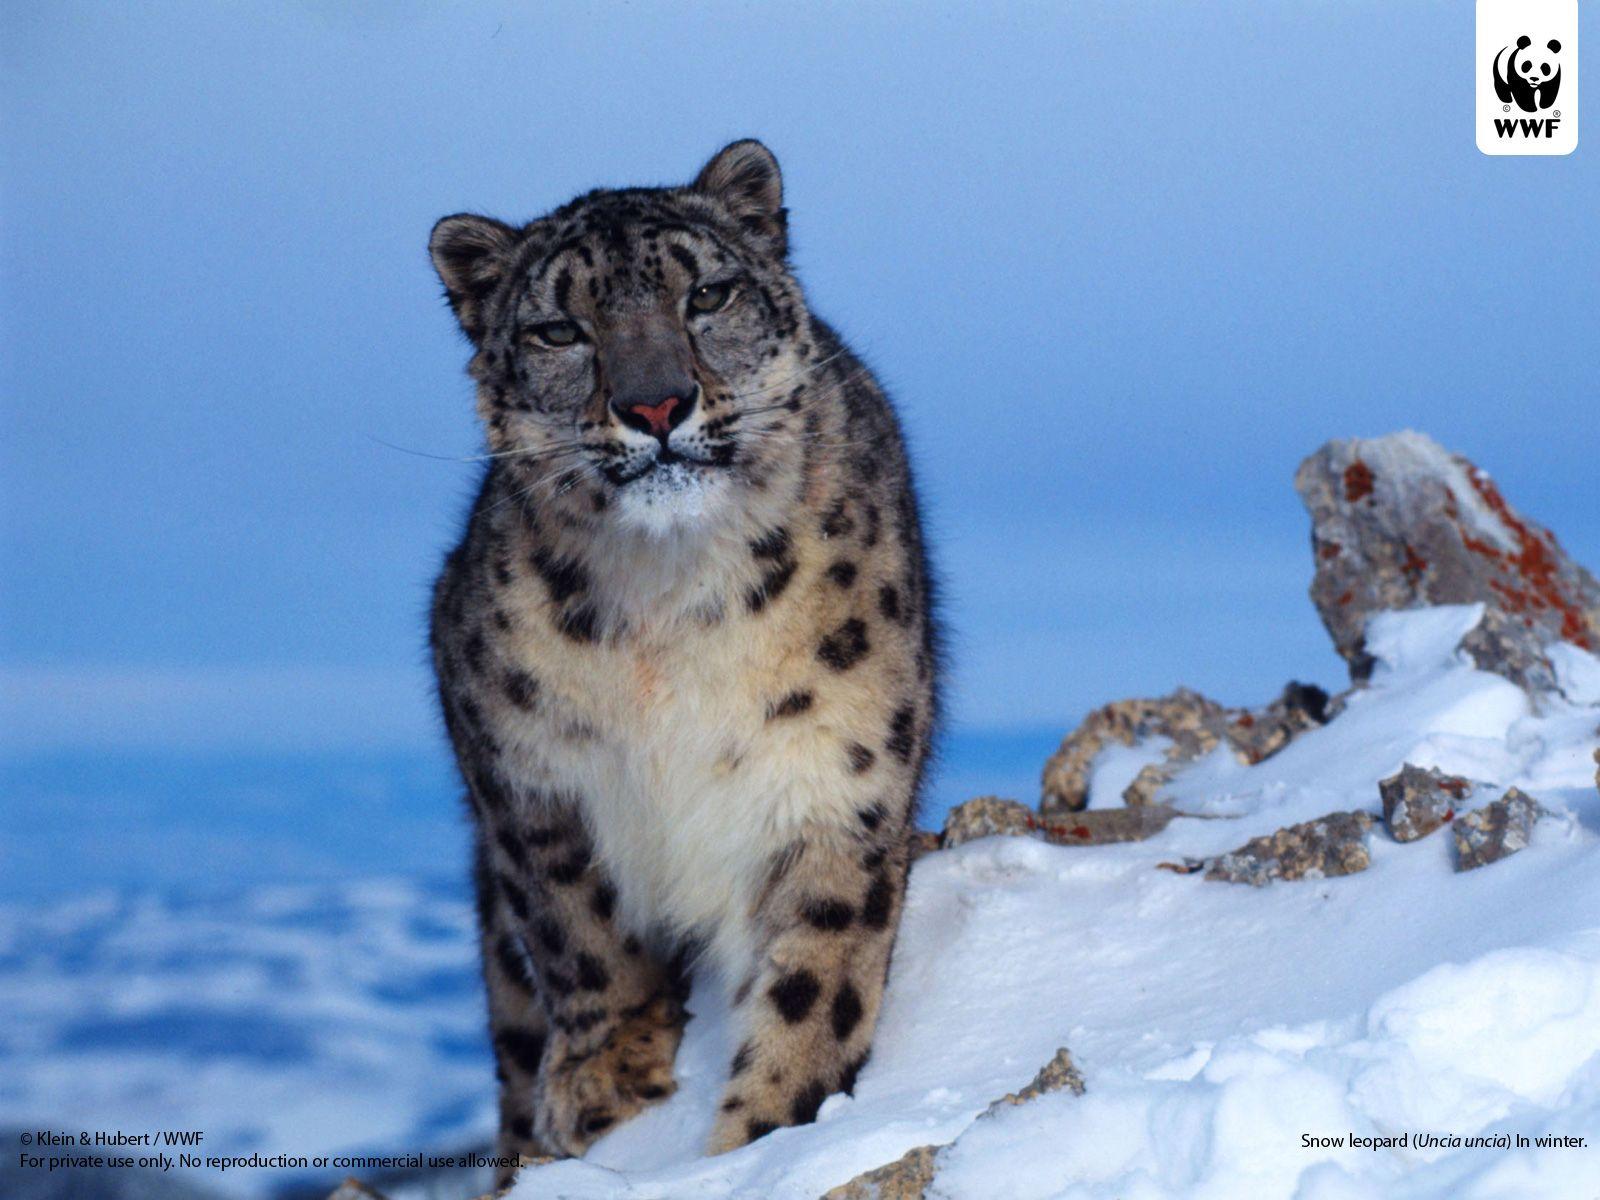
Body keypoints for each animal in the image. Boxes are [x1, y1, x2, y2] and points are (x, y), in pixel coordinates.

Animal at [426, 139, 940, 1185]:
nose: (655, 402)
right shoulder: (519, 767)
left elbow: (814, 985)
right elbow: (575, 925)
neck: (668, 612)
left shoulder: (838, 779)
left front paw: (765, 1137)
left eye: (707, 294)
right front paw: (605, 1079)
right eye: (556, 328)